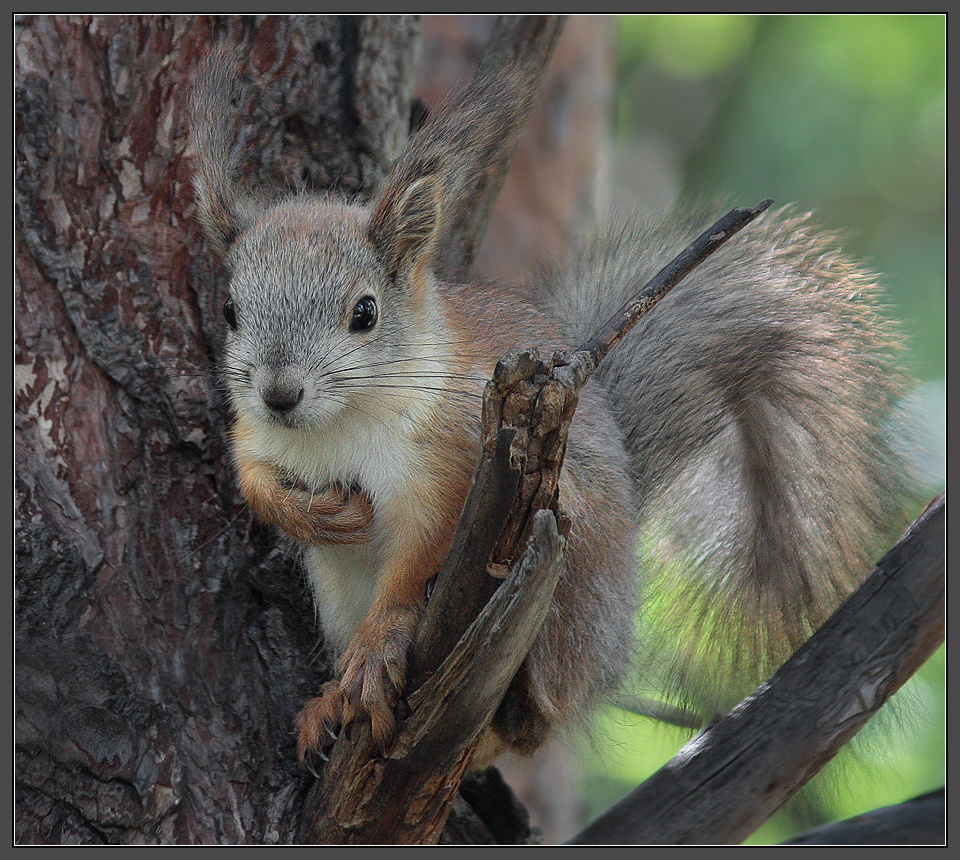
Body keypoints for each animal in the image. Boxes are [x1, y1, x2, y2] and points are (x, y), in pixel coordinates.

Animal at [189, 51, 914, 771]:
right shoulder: (254, 434)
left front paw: (376, 650)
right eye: (229, 310)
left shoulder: (454, 458)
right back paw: (327, 706)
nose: (280, 393)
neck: (333, 428)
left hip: (564, 589)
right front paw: (307, 513)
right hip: (342, 590)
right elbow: (252, 478)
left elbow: (420, 555)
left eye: (364, 313)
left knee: (529, 725)